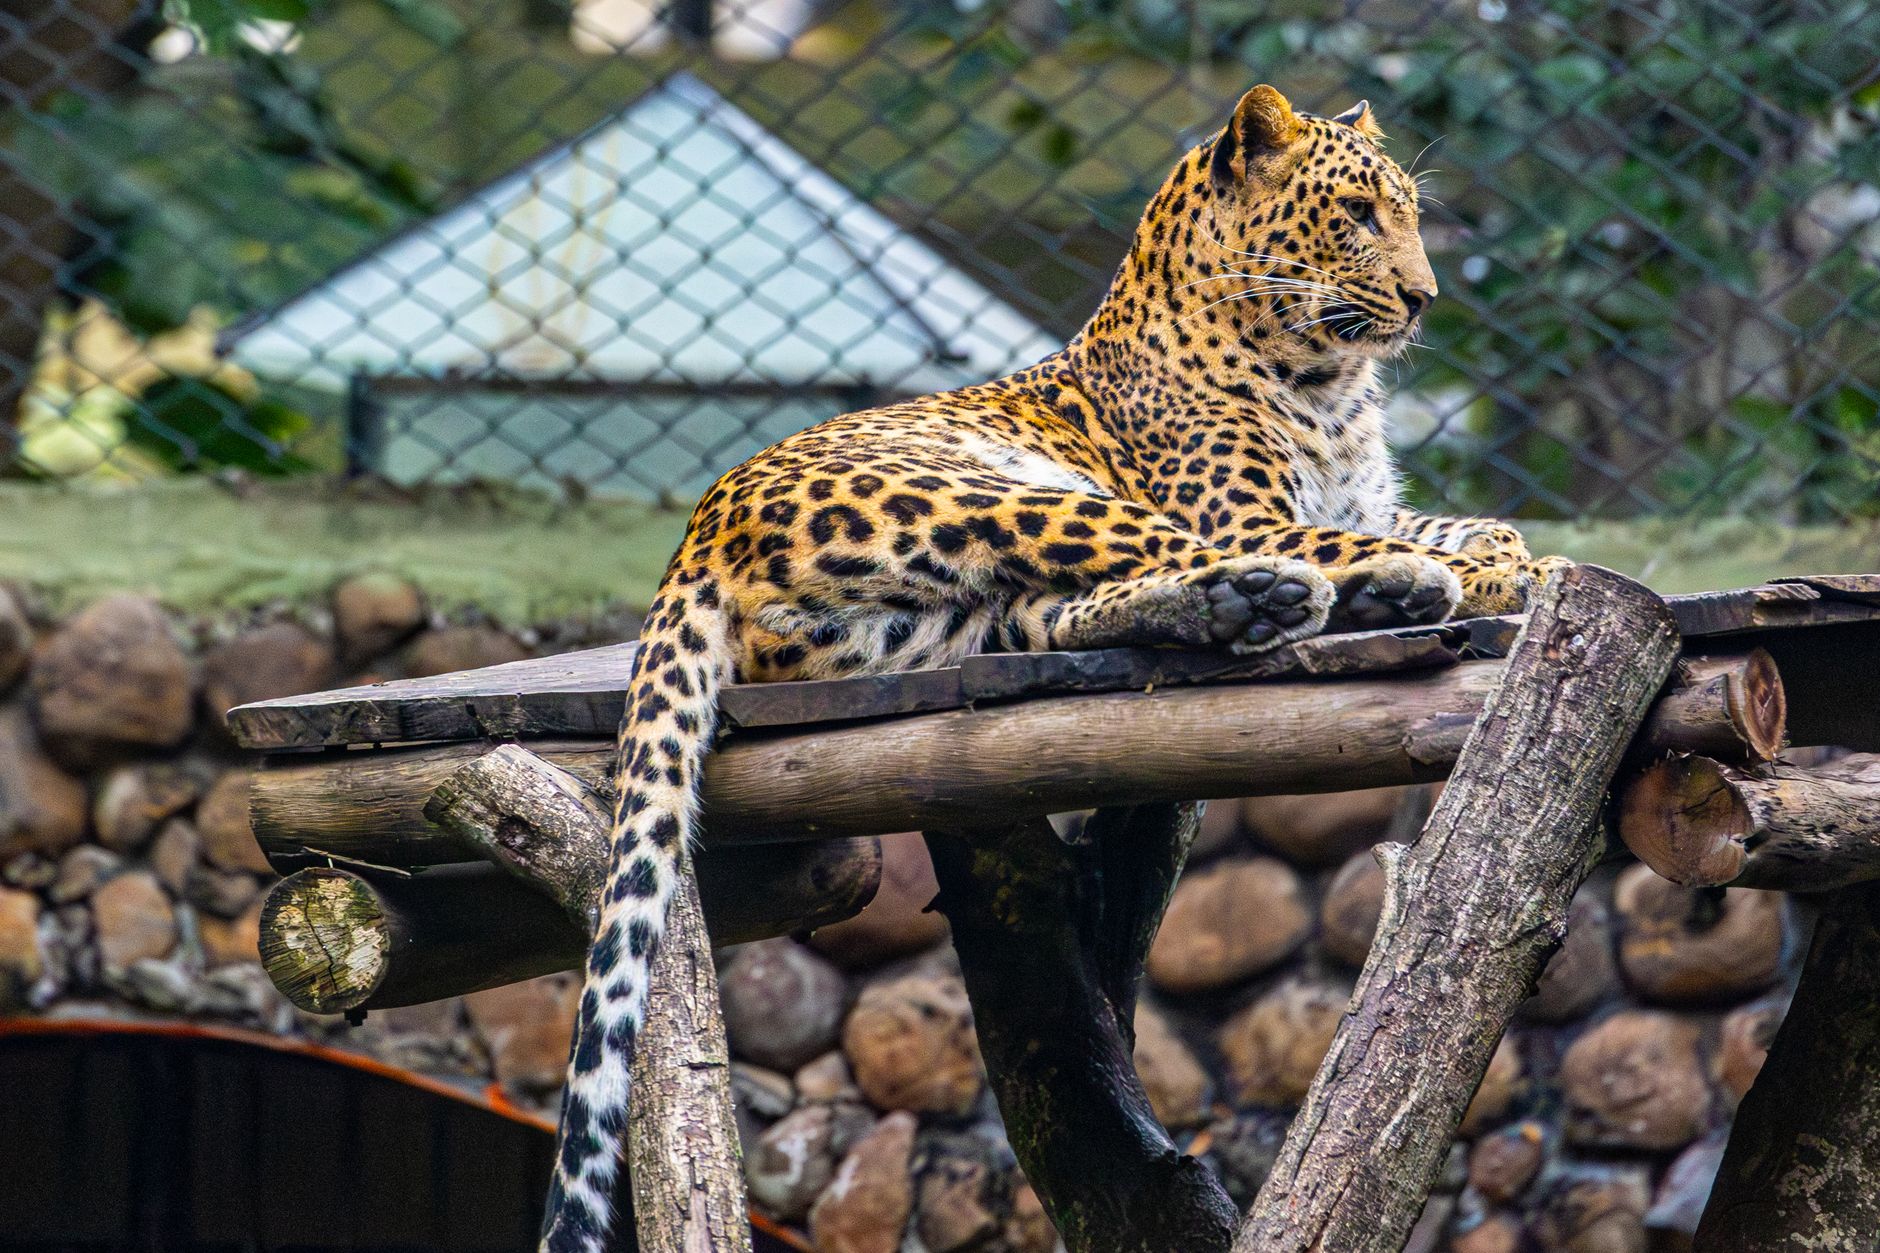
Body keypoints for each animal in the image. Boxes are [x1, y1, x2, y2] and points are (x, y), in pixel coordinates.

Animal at [542, 83, 1568, 1252]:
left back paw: (1266, 602)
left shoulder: (1367, 499)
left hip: (944, 618)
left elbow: (1476, 518)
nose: (1421, 295)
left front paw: (1523, 555)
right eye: (1355, 214)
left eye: (1408, 212)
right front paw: (1488, 569)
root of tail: (698, 532)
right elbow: (1403, 538)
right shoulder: (1251, 513)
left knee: (1052, 606)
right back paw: (1343, 592)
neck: (1330, 384)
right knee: (1170, 556)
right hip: (1003, 488)